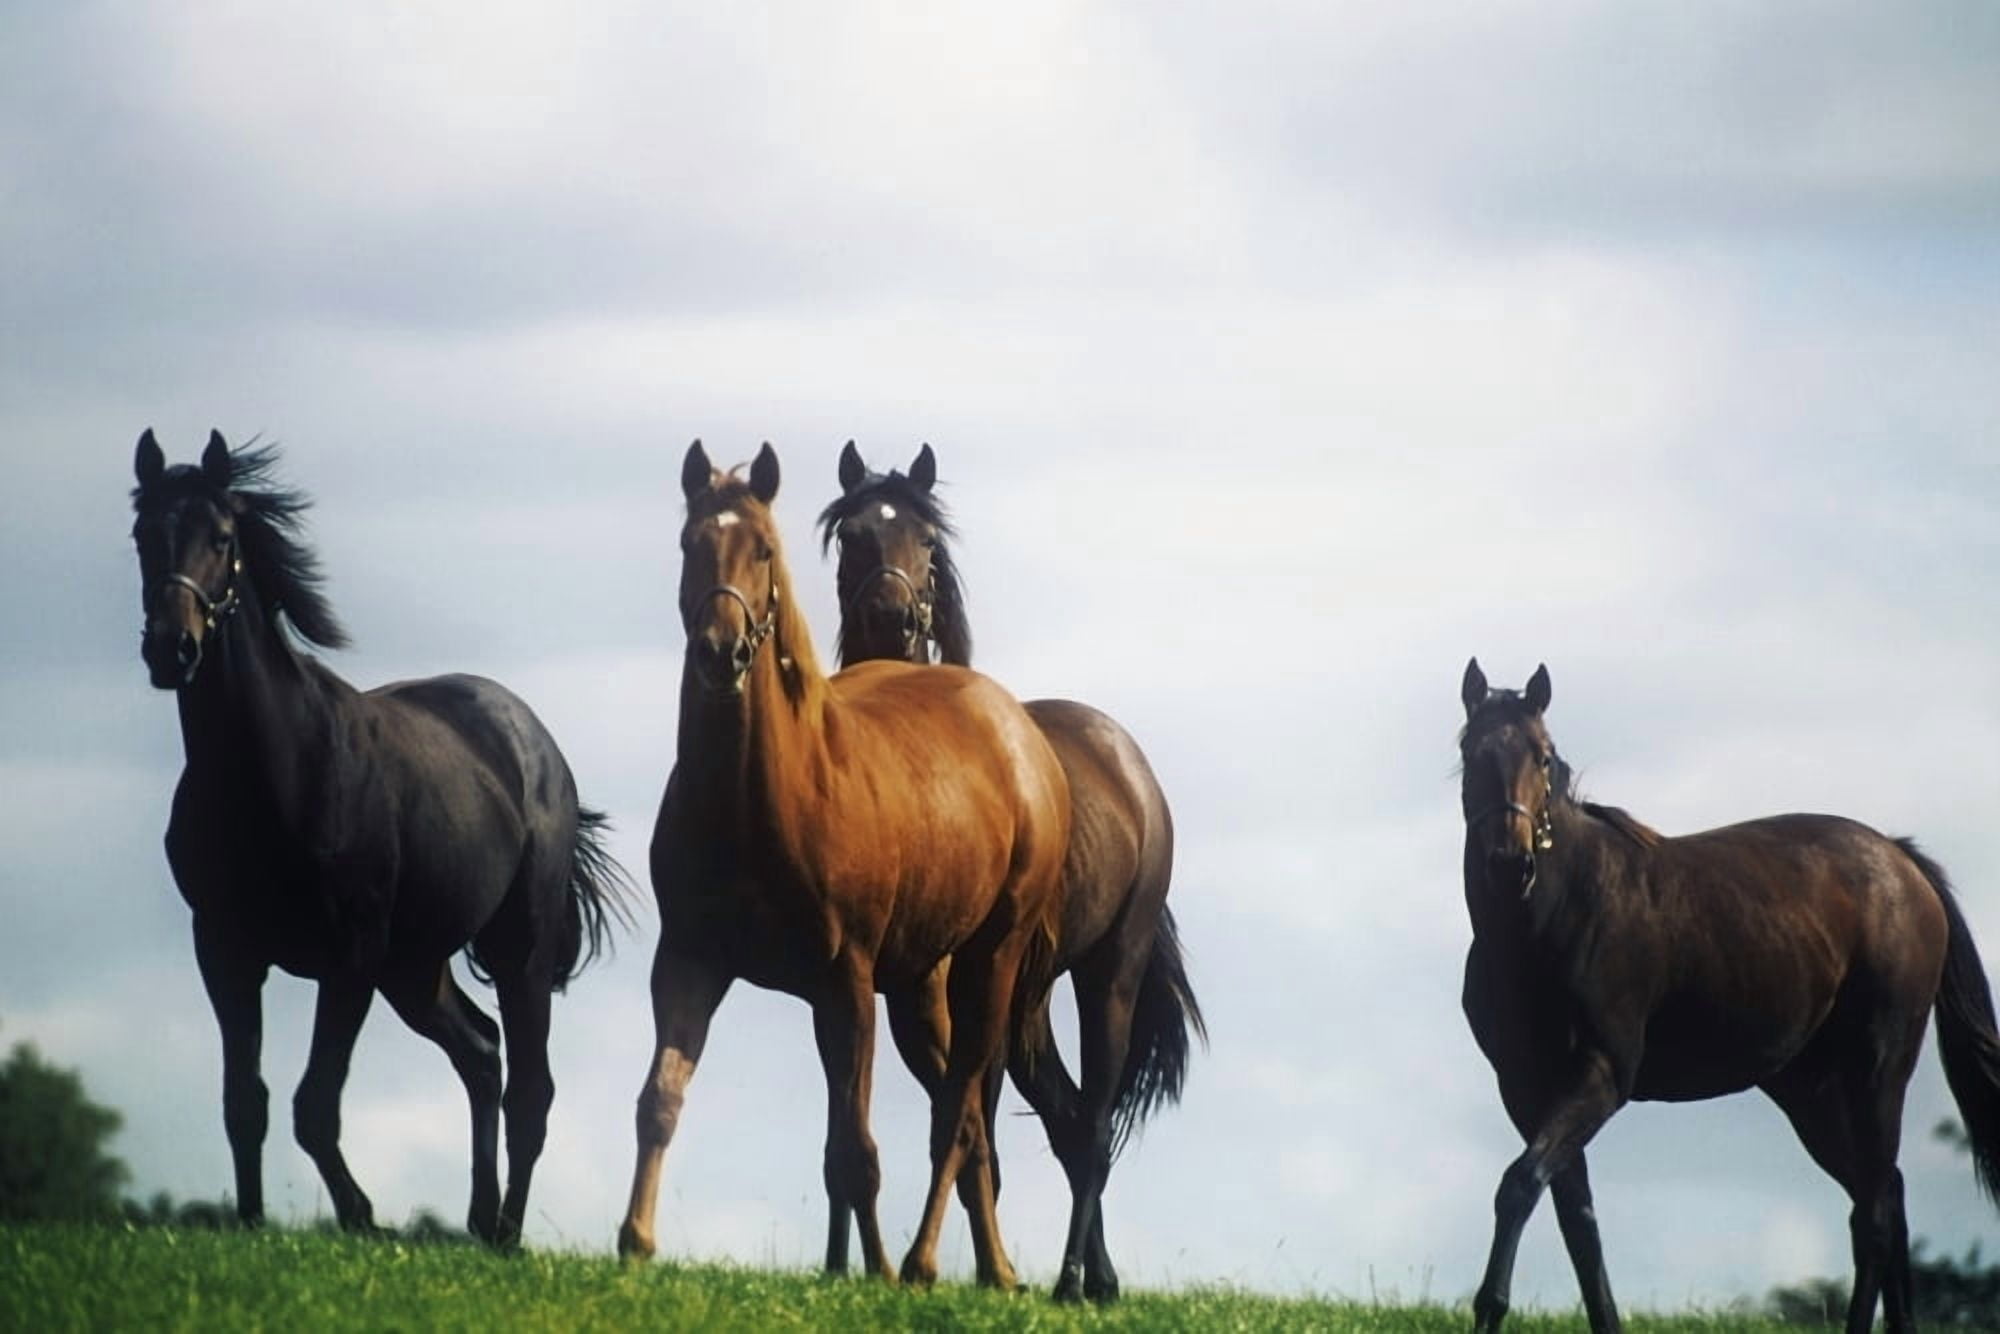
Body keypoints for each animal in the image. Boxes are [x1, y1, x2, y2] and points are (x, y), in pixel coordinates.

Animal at [130, 430, 632, 1245]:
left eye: (223, 537)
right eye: (145, 534)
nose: (172, 649)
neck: (277, 773)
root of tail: (539, 749)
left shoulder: (351, 957)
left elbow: (313, 1105)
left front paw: (362, 1220)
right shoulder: (226, 951)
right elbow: (246, 1102)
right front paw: (251, 1224)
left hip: (512, 954)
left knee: (529, 1090)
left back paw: (507, 1235)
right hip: (415, 969)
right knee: (480, 1053)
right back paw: (478, 1221)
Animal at [616, 441, 1071, 1290]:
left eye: (764, 549)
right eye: (691, 544)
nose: (721, 652)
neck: (761, 797)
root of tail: (1022, 736)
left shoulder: (846, 982)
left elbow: (854, 1151)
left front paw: (881, 1273)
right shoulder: (689, 961)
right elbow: (659, 1099)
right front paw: (635, 1241)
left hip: (989, 959)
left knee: (958, 1111)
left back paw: (928, 1264)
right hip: (919, 988)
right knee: (964, 1119)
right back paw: (993, 1270)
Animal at [816, 441, 1205, 1302]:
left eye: (927, 540)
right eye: (851, 535)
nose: (889, 615)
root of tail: (1130, 765)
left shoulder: (949, 998)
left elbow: (965, 1126)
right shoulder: (901, 1000)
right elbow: (935, 1125)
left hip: (1106, 975)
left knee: (1093, 1123)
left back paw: (1069, 1280)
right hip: (1027, 1007)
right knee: (1067, 1120)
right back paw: (1096, 1279)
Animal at [1456, 658, 2000, 1333]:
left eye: (1544, 754)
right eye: (1470, 750)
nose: (1510, 864)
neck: (1550, 923)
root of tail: (1903, 862)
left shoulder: (1603, 1076)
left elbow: (1520, 1183)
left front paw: (1489, 1307)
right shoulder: (1525, 1087)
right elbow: (1576, 1219)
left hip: (1878, 1070)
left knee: (1874, 1212)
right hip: (1809, 1092)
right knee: (1886, 1198)